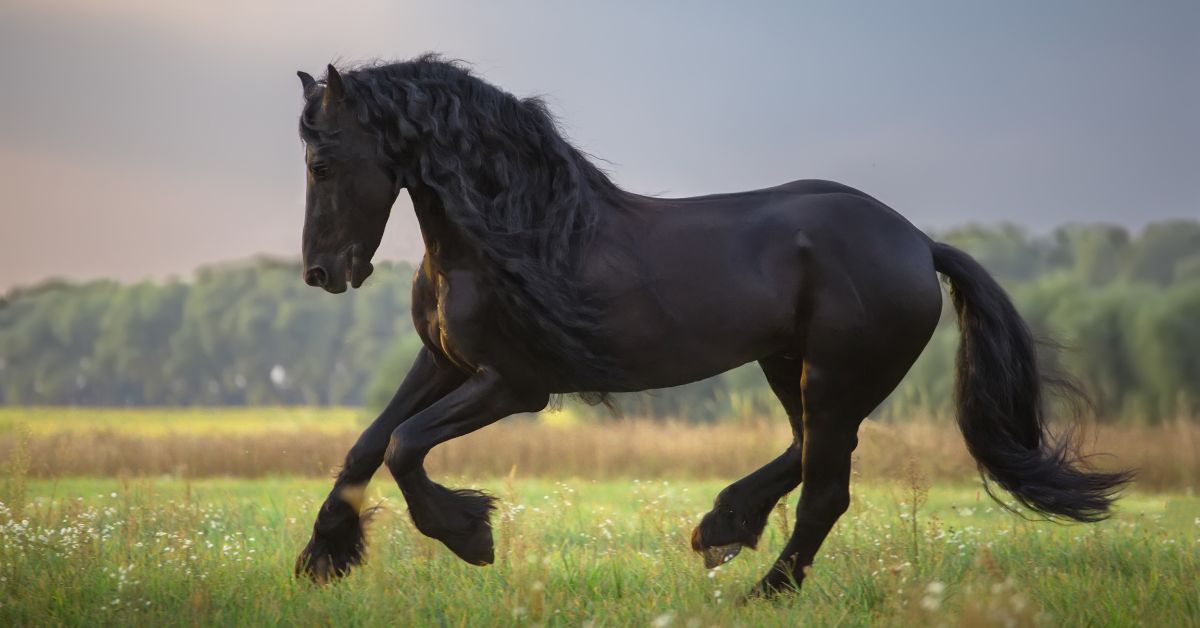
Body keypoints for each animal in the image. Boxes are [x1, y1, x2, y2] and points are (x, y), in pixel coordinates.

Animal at [291, 55, 1131, 597]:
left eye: (323, 163)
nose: (322, 274)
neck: (508, 233)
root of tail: (919, 244)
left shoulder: (515, 383)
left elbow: (404, 445)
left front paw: (470, 535)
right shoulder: (445, 363)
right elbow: (368, 442)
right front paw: (322, 556)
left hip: (834, 376)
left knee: (827, 487)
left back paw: (764, 588)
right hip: (789, 367)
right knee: (808, 453)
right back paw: (723, 527)